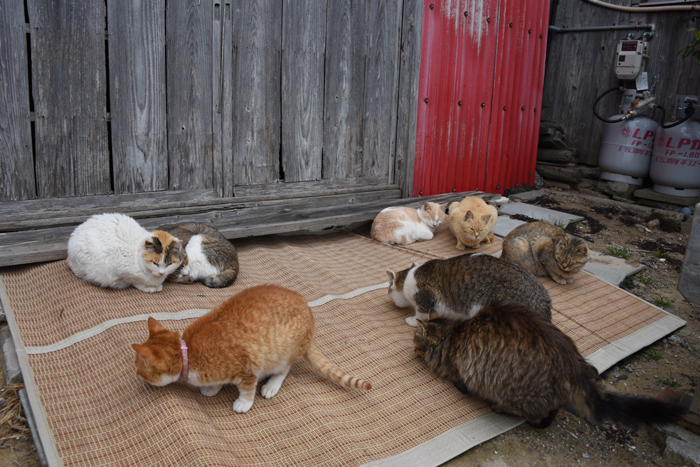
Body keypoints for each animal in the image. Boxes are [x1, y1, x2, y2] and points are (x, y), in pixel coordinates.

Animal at [132, 286, 372, 414]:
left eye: (138, 368)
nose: (136, 376)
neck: (188, 352)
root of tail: (310, 313)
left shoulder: (247, 368)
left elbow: (247, 388)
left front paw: (244, 403)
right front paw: (212, 388)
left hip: (282, 351)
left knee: (284, 370)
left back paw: (272, 385)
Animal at [416, 306, 684, 430]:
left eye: (415, 340)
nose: (412, 349)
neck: (455, 334)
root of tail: (575, 368)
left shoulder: (462, 370)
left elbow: (459, 380)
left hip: (515, 391)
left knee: (538, 415)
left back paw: (503, 410)